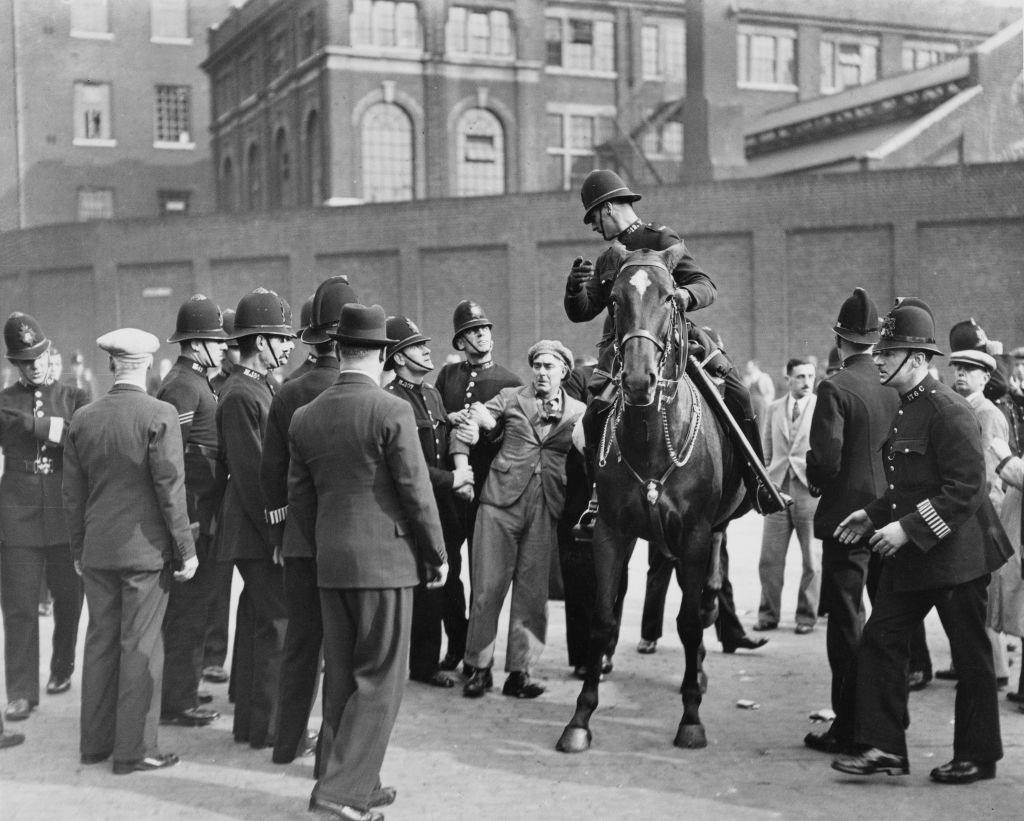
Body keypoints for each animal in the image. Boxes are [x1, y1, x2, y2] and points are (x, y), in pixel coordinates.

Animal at [561, 239, 745, 753]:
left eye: (668, 297)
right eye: (614, 299)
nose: (640, 379)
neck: (650, 436)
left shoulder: (696, 535)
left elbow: (688, 623)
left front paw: (691, 718)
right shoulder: (610, 533)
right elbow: (603, 619)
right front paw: (580, 719)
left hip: (713, 531)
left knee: (705, 596)